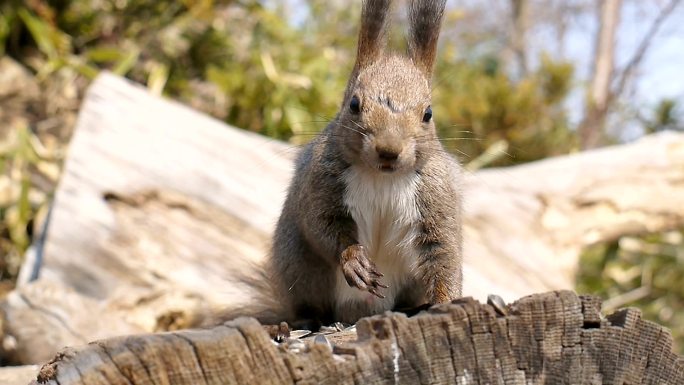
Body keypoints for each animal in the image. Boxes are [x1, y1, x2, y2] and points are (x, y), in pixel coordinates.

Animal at [200, 0, 462, 328]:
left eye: (428, 113)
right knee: (310, 308)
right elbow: (322, 225)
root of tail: (359, 313)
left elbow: (443, 251)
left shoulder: (436, 194)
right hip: (302, 270)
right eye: (354, 104)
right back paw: (294, 324)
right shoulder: (321, 180)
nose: (388, 151)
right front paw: (353, 260)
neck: (381, 176)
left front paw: (448, 303)